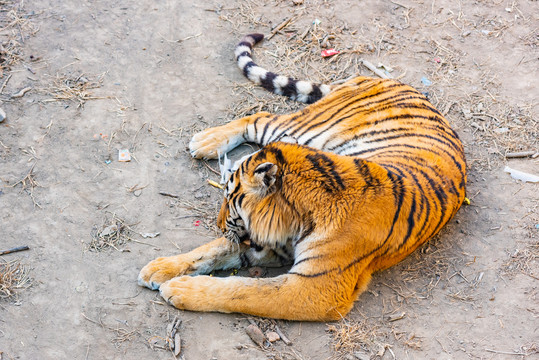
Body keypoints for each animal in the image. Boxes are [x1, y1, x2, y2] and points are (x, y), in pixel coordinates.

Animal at [140, 33, 468, 320]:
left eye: (229, 200)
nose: (217, 224)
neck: (296, 217)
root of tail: (386, 79)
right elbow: (215, 249)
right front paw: (160, 268)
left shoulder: (316, 286)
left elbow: (246, 290)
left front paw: (180, 288)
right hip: (302, 131)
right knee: (260, 117)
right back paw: (207, 141)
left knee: (261, 117)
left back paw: (204, 141)